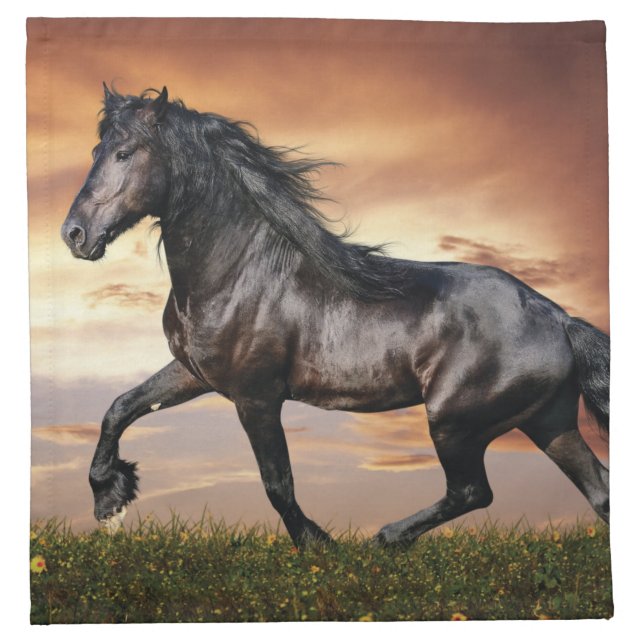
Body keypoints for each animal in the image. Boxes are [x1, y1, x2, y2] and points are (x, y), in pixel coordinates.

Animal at [61, 86, 610, 546]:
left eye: (125, 153)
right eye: (95, 152)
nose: (74, 234)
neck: (238, 271)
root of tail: (558, 318)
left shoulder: (256, 397)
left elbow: (277, 483)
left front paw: (318, 545)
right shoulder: (194, 374)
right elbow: (120, 407)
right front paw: (110, 499)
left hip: (456, 422)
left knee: (473, 491)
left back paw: (384, 539)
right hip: (548, 422)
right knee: (600, 492)